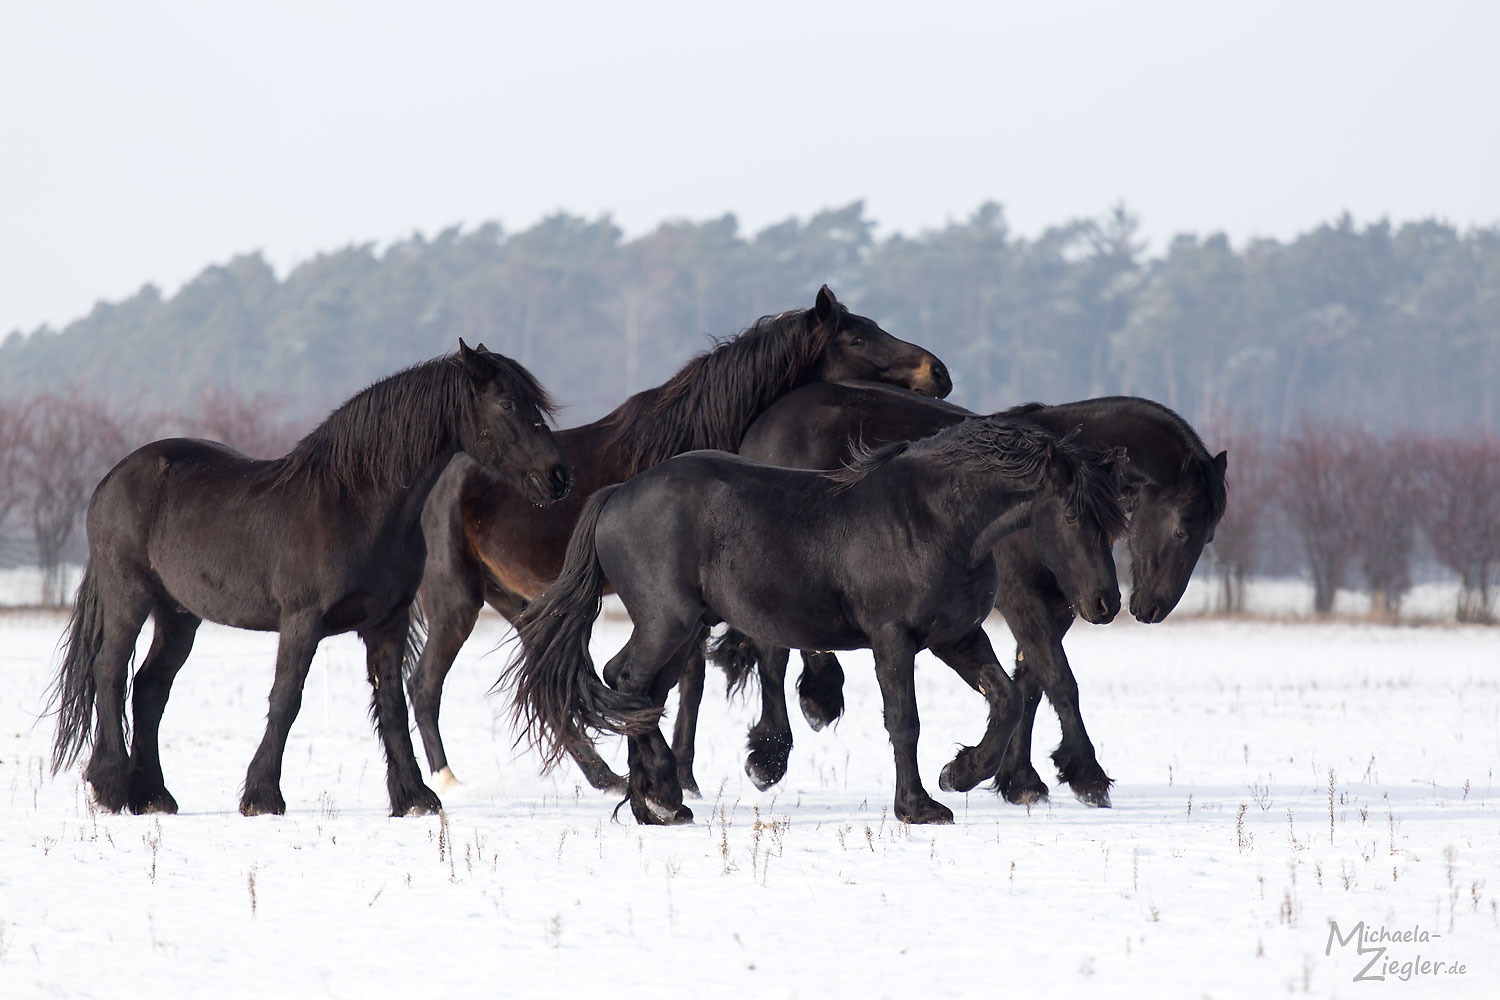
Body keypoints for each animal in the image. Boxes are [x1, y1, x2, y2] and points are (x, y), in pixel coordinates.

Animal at [51, 344, 567, 821]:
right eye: (505, 403)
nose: (559, 476)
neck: (354, 503)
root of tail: (111, 479)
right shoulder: (302, 621)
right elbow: (286, 698)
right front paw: (262, 797)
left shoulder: (388, 623)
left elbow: (391, 703)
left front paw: (414, 798)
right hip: (129, 597)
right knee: (110, 673)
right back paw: (111, 787)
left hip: (179, 614)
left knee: (150, 687)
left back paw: (153, 795)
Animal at [408, 284, 948, 791]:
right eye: (857, 338)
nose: (938, 372)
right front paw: (811, 704)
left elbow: (691, 681)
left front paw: (684, 772)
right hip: (457, 599)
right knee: (425, 686)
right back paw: (446, 780)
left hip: (517, 603)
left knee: (544, 684)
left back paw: (603, 776)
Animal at [507, 416, 1128, 827]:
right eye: (1073, 515)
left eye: (1115, 518)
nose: (1105, 603)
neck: (933, 519)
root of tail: (616, 496)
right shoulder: (893, 640)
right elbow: (904, 721)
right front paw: (919, 807)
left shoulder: (956, 637)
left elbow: (1006, 699)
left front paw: (960, 773)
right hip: (668, 621)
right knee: (629, 683)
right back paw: (659, 796)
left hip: (680, 628)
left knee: (639, 692)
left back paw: (657, 802)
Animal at [687, 380, 1224, 803]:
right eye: (1181, 529)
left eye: (1208, 536)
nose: (1143, 607)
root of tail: (768, 417)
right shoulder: (1022, 600)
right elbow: (1059, 680)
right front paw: (1085, 774)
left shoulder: (1053, 608)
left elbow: (1027, 684)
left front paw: (1016, 778)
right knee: (771, 654)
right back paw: (772, 752)